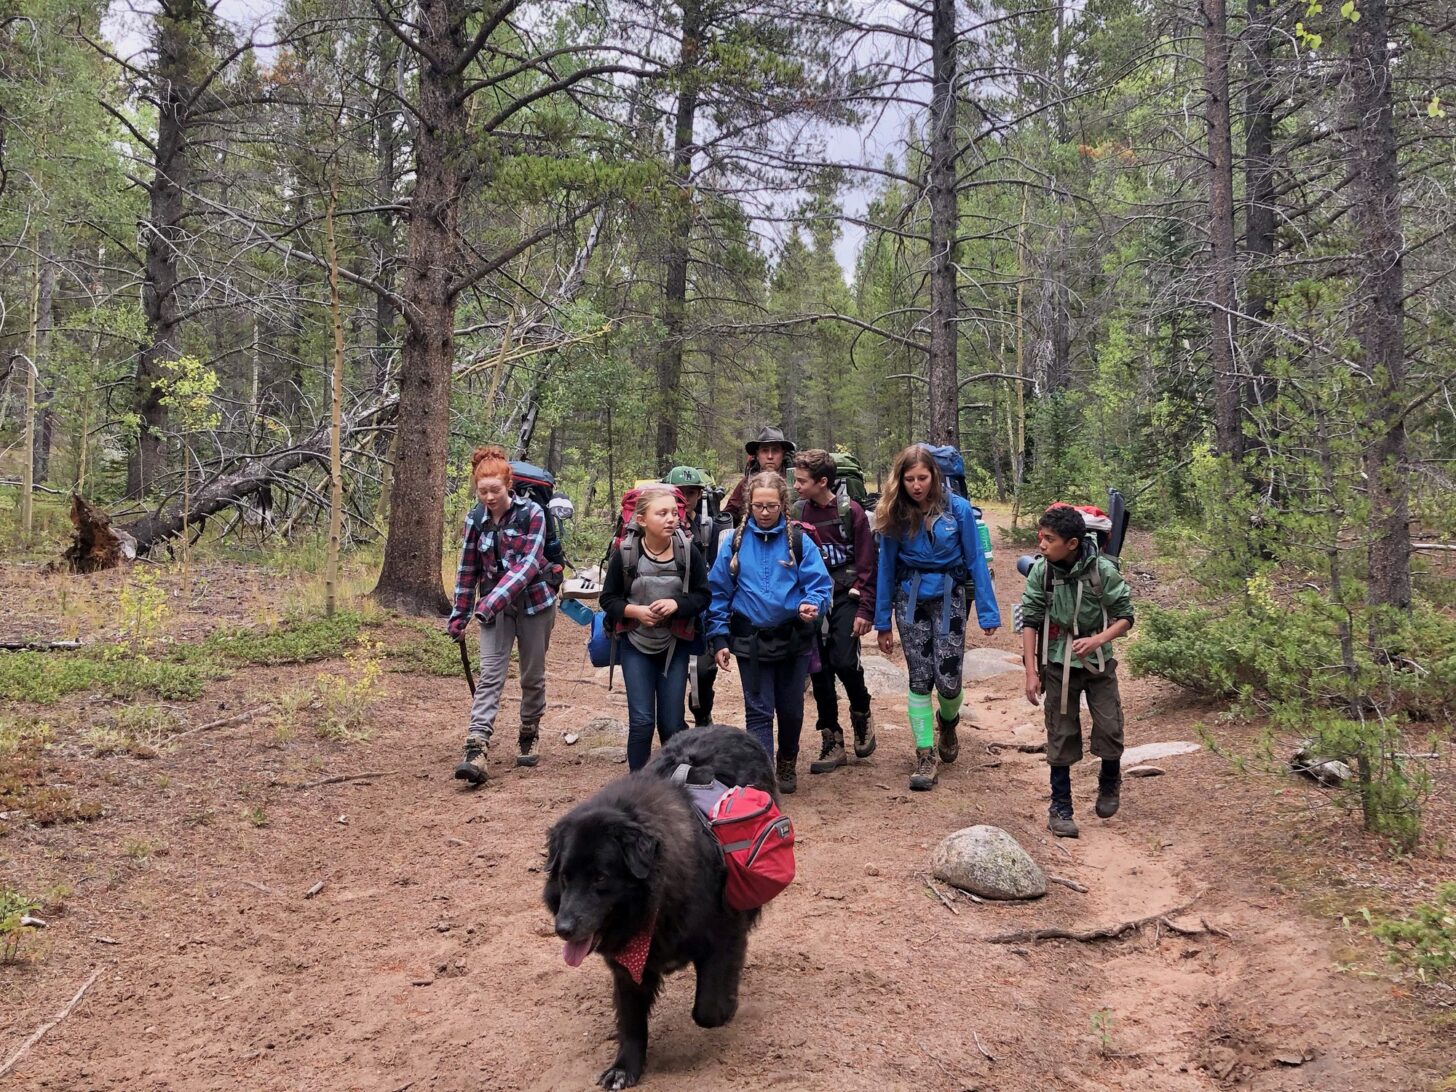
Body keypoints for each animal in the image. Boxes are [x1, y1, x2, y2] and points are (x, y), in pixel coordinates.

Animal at [544, 730, 774, 1089]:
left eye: (600, 877)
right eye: (565, 877)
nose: (563, 929)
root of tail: (733, 730)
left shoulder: (724, 934)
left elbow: (707, 1010)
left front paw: (729, 1005)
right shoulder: (626, 966)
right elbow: (631, 1020)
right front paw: (625, 1067)